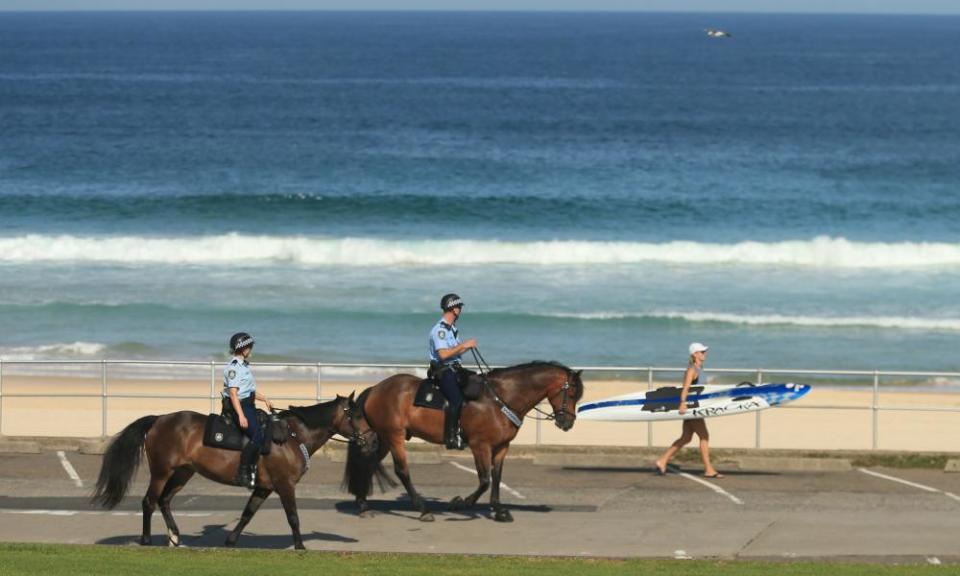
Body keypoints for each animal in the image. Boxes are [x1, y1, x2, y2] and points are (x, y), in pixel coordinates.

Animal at [90, 394, 376, 552]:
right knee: (149, 501)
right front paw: (300, 545)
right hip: (161, 472)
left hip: (183, 472)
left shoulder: (264, 487)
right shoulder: (285, 485)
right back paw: (147, 539)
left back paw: (175, 537)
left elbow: (247, 514)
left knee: (165, 500)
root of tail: (159, 419)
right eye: (356, 414)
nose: (373, 440)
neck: (293, 437)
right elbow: (293, 517)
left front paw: (230, 540)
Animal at [344, 364, 584, 520]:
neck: (500, 398)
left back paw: (363, 503)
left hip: (384, 438)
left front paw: (498, 509)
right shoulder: (480, 445)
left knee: (368, 463)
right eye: (572, 393)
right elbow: (485, 480)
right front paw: (461, 503)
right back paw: (422, 509)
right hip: (394, 436)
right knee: (402, 471)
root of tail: (376, 388)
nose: (567, 422)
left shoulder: (501, 447)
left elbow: (497, 477)